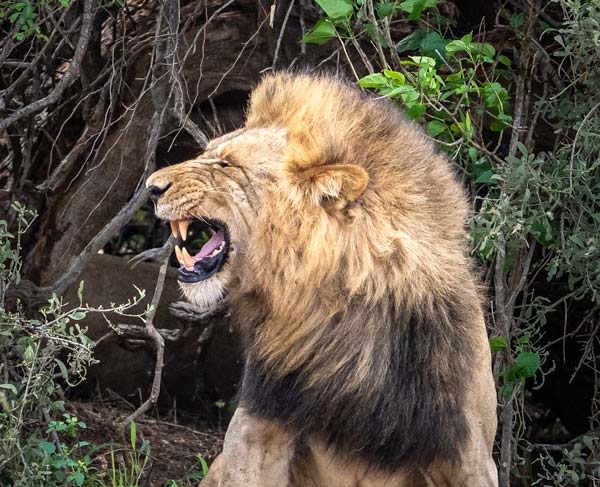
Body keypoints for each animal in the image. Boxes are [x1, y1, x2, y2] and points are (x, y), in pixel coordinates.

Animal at [145, 72, 496, 487]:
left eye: (226, 164)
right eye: (209, 154)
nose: (151, 187)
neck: (341, 313)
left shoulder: (469, 454)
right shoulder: (256, 431)